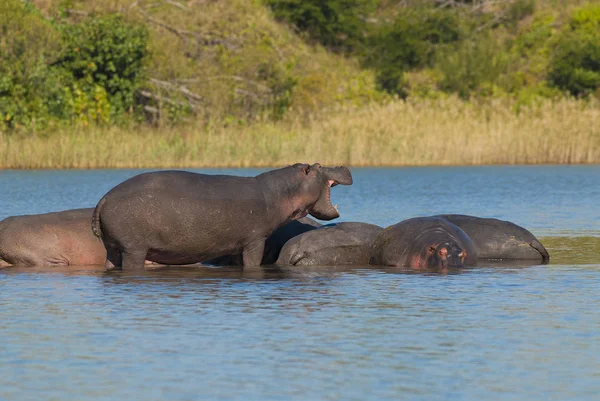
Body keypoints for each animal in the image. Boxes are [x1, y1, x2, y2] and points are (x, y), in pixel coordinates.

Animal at [90, 162, 352, 268]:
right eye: (319, 166)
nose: (343, 165)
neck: (284, 190)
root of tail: (104, 198)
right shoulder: (255, 240)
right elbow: (253, 262)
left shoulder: (236, 245)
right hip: (133, 249)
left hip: (113, 247)